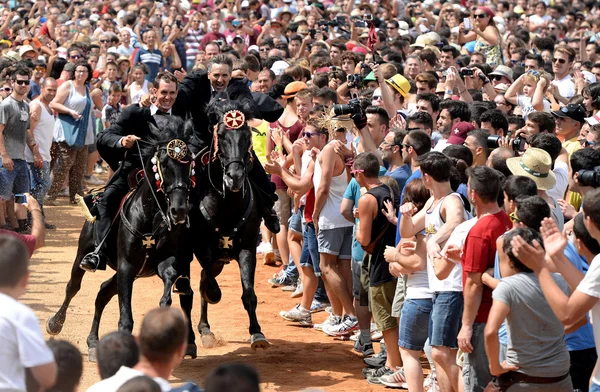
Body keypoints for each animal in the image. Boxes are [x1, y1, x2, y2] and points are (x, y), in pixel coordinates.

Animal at [47, 117, 197, 362]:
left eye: (190, 165)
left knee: (102, 293)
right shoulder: (127, 267)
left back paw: (93, 342)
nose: (179, 210)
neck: (150, 215)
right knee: (73, 287)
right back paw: (55, 323)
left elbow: (168, 286)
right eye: (164, 164)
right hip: (83, 254)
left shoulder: (164, 262)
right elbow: (125, 317)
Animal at [188, 101, 270, 350]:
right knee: (197, 283)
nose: (235, 176)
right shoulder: (202, 249)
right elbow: (209, 287)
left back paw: (205, 329)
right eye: (222, 136)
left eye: (247, 136)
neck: (225, 205)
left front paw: (257, 333)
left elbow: (249, 294)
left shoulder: (247, 249)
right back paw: (203, 331)